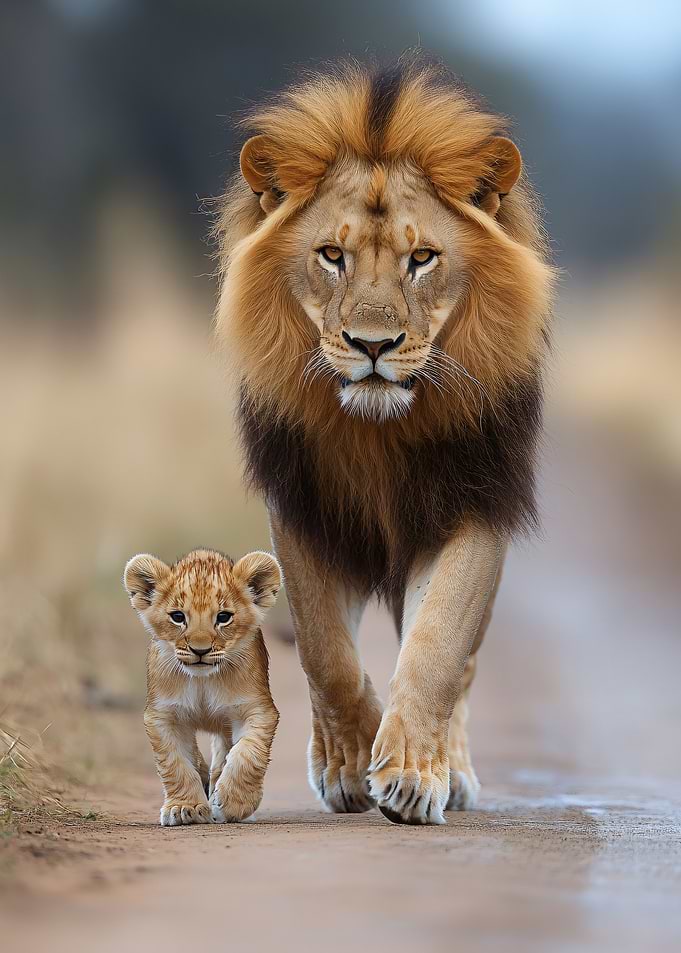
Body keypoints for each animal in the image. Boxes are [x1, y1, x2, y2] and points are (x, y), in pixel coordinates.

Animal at [124, 548, 281, 825]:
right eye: (178, 617)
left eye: (223, 617)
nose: (200, 650)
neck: (202, 680)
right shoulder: (164, 715)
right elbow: (175, 764)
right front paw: (184, 807)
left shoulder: (256, 709)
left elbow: (248, 755)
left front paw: (233, 802)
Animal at [215, 57, 554, 824]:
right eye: (331, 255)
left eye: (422, 257)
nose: (373, 345)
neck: (378, 433)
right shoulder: (302, 508)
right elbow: (326, 654)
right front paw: (349, 760)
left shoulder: (476, 501)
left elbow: (437, 646)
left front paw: (410, 773)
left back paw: (450, 769)